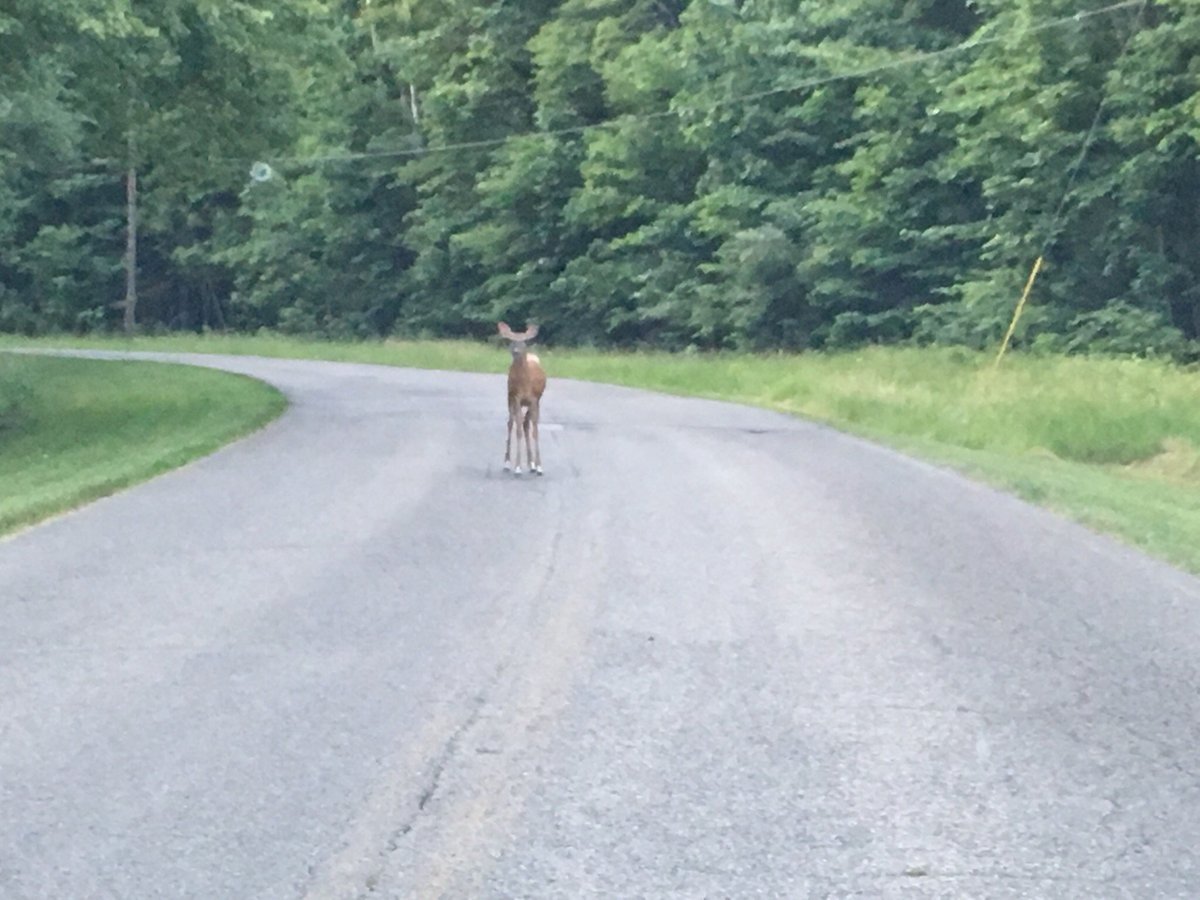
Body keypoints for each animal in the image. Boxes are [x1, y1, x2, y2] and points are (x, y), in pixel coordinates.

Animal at [499, 321, 547, 475]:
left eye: (524, 341)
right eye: (511, 340)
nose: (515, 351)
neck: (525, 382)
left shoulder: (534, 399)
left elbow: (535, 430)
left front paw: (539, 466)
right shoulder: (516, 398)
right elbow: (518, 429)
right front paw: (518, 467)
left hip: (536, 401)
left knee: (526, 423)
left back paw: (532, 464)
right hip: (509, 398)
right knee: (511, 423)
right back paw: (507, 463)